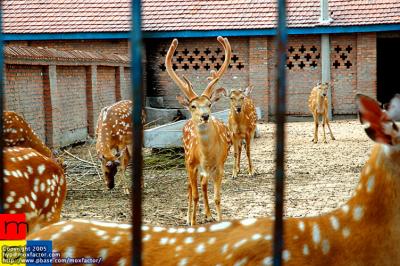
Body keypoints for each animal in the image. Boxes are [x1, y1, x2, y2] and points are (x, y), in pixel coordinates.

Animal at [166, 36, 233, 225]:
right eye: (193, 106)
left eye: (209, 104)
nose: (205, 116)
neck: (207, 155)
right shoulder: (191, 164)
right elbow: (194, 195)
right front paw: (192, 222)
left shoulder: (220, 165)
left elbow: (218, 197)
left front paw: (218, 219)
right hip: (186, 158)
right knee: (190, 188)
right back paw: (189, 217)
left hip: (207, 170)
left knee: (203, 184)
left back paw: (208, 215)